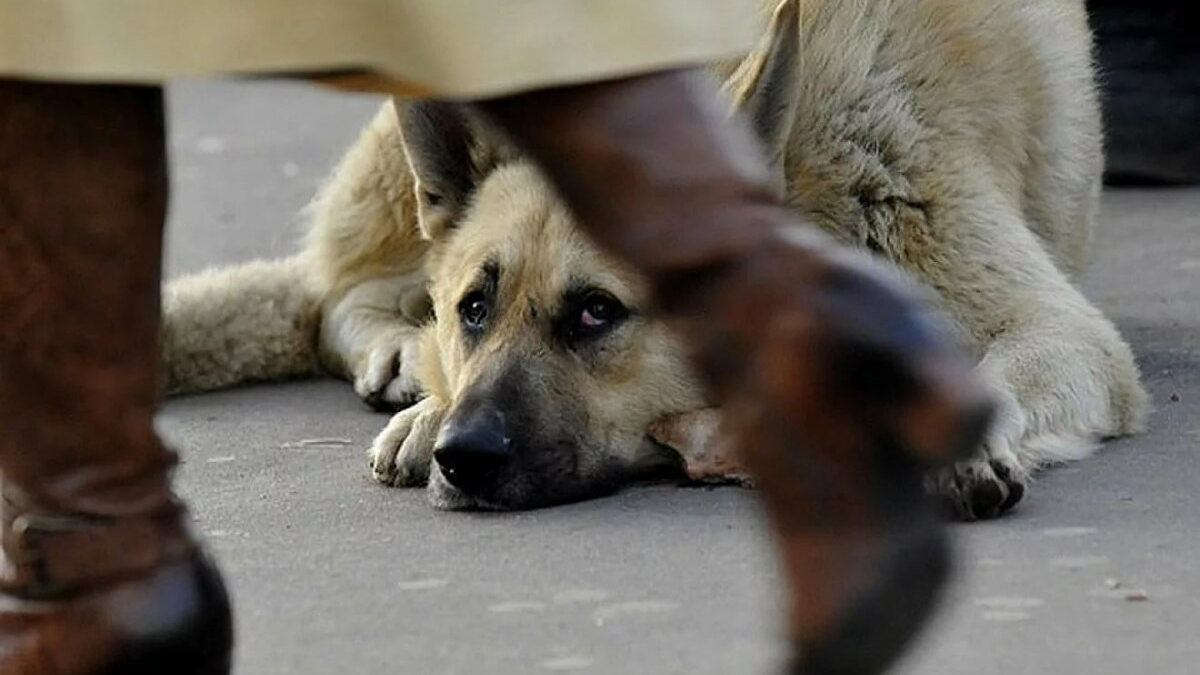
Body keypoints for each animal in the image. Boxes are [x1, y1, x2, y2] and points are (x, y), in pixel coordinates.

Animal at [164, 0, 1147, 514]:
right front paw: (426, 404)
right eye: (475, 307)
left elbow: (1004, 368)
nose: (463, 454)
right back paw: (405, 361)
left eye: (597, 311)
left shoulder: (1055, 329)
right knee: (337, 289)